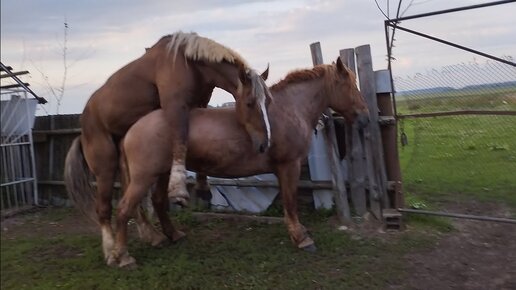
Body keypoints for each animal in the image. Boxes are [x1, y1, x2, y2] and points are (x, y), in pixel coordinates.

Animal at [63, 31, 272, 266]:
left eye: (268, 102)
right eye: (249, 103)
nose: (264, 143)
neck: (188, 61)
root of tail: (84, 125)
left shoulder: (198, 103)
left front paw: (202, 187)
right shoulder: (175, 106)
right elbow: (181, 137)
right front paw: (180, 190)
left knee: (131, 203)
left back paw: (152, 236)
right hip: (105, 167)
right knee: (104, 209)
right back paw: (112, 252)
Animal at [107, 57, 368, 268]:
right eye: (349, 85)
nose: (364, 116)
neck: (288, 110)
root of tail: (132, 130)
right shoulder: (289, 165)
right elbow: (290, 202)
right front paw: (301, 238)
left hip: (162, 174)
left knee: (159, 202)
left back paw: (174, 235)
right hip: (143, 177)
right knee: (123, 210)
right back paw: (124, 257)